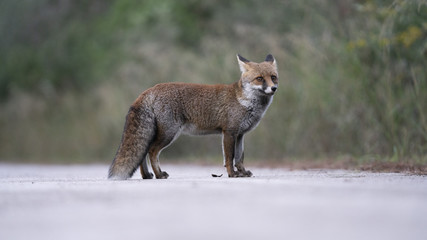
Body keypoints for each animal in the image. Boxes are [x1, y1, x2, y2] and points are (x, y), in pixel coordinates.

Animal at [108, 54, 280, 178]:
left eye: (273, 77)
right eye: (259, 78)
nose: (274, 88)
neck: (245, 102)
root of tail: (149, 89)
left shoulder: (240, 134)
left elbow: (239, 158)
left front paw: (243, 172)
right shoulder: (229, 132)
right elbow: (229, 158)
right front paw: (232, 174)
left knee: (144, 152)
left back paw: (147, 176)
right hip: (168, 134)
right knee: (152, 151)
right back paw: (159, 174)